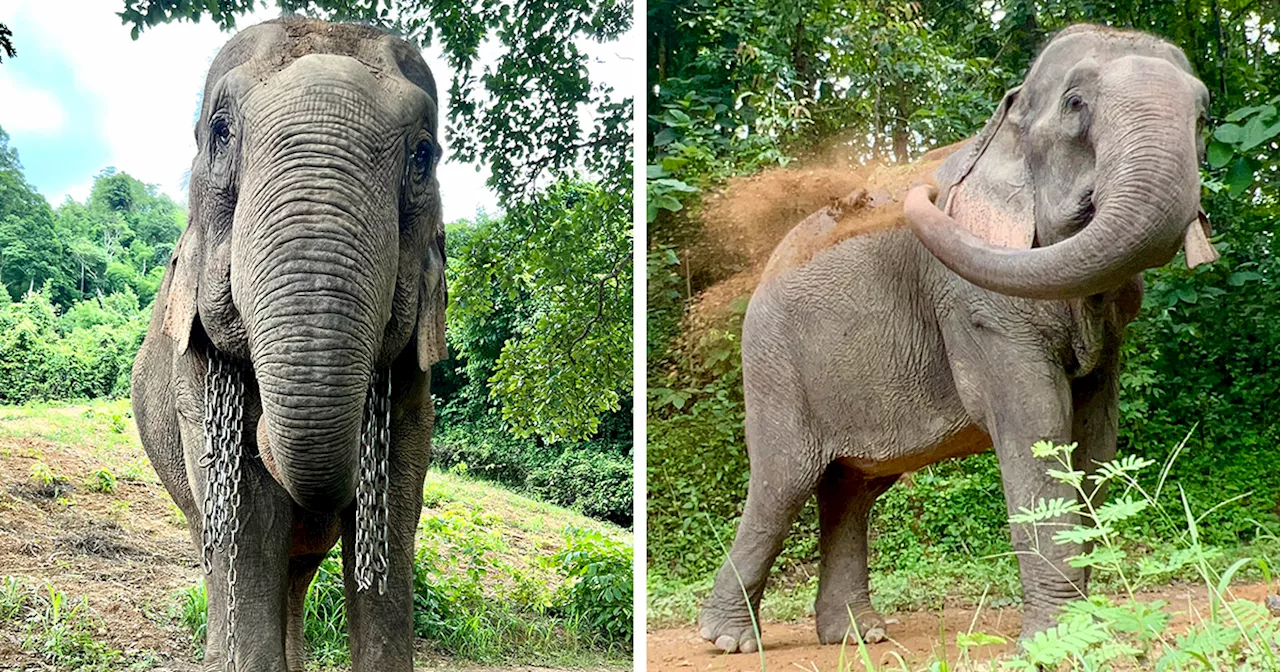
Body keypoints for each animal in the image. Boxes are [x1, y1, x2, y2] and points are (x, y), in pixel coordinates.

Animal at [129, 17, 448, 670]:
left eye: (423, 155)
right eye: (220, 132)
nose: (263, 434)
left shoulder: (414, 385)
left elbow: (395, 501)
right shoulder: (194, 380)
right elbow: (247, 522)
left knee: (298, 573)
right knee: (221, 549)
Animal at [696, 23, 1213, 652]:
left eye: (1205, 117)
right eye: (1075, 105)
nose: (923, 192)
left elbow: (1094, 439)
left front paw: (1090, 633)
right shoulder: (975, 305)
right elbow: (1035, 425)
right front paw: (1057, 644)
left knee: (851, 487)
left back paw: (858, 636)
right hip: (774, 364)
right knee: (781, 484)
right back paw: (729, 640)